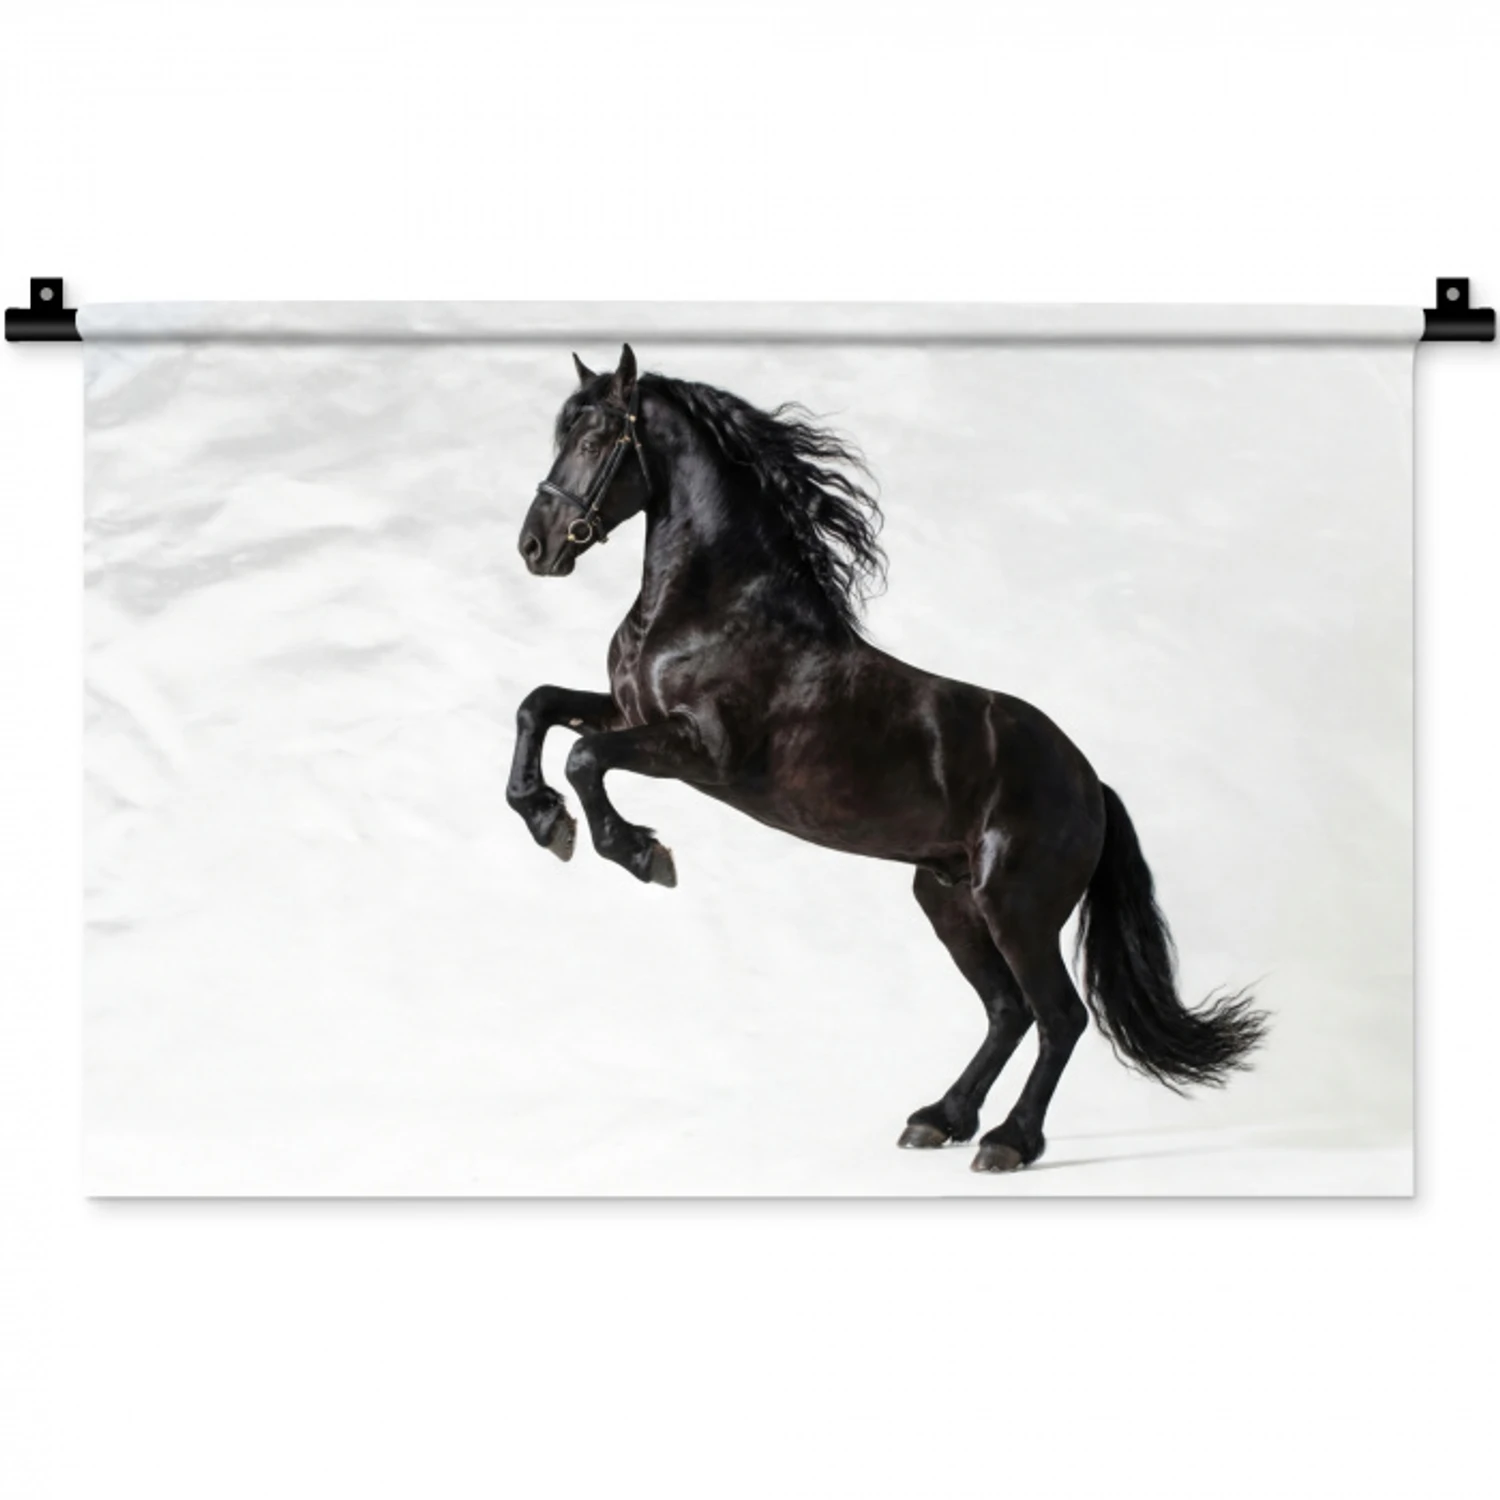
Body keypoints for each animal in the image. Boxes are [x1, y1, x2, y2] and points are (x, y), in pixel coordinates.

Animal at [508, 344, 1266, 1173]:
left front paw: (639, 852)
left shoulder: (700, 749)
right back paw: (938, 1119)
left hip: (1018, 907)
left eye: (594, 439)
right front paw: (545, 820)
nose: (536, 547)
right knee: (1007, 1011)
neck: (711, 609)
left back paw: (1008, 1142)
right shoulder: (632, 713)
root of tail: (1092, 783)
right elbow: (539, 706)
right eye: (559, 434)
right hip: (948, 898)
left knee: (1058, 1015)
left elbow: (584, 755)